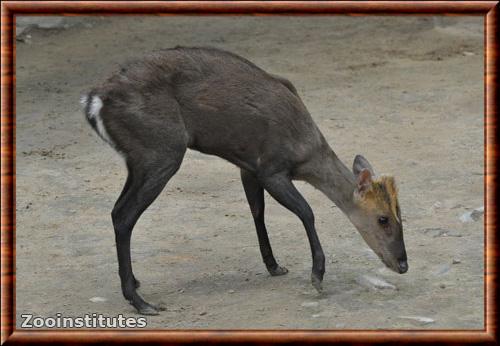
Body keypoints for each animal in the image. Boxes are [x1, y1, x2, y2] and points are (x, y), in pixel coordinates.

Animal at [83, 46, 406, 316]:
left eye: (401, 215)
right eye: (383, 219)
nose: (403, 264)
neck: (305, 152)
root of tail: (93, 101)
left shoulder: (248, 167)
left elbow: (257, 211)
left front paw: (275, 266)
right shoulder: (272, 168)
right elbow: (306, 212)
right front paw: (317, 276)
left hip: (139, 160)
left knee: (116, 210)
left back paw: (137, 285)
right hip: (162, 151)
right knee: (124, 215)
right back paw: (142, 303)